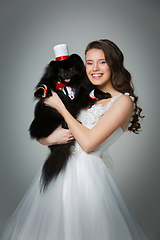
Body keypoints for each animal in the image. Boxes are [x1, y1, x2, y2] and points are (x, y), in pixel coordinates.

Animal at [29, 53, 110, 190]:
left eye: (72, 69)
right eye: (61, 70)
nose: (66, 74)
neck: (69, 86)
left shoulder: (84, 91)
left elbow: (92, 92)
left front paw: (103, 94)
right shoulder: (50, 87)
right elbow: (45, 86)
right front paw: (40, 92)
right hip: (45, 115)